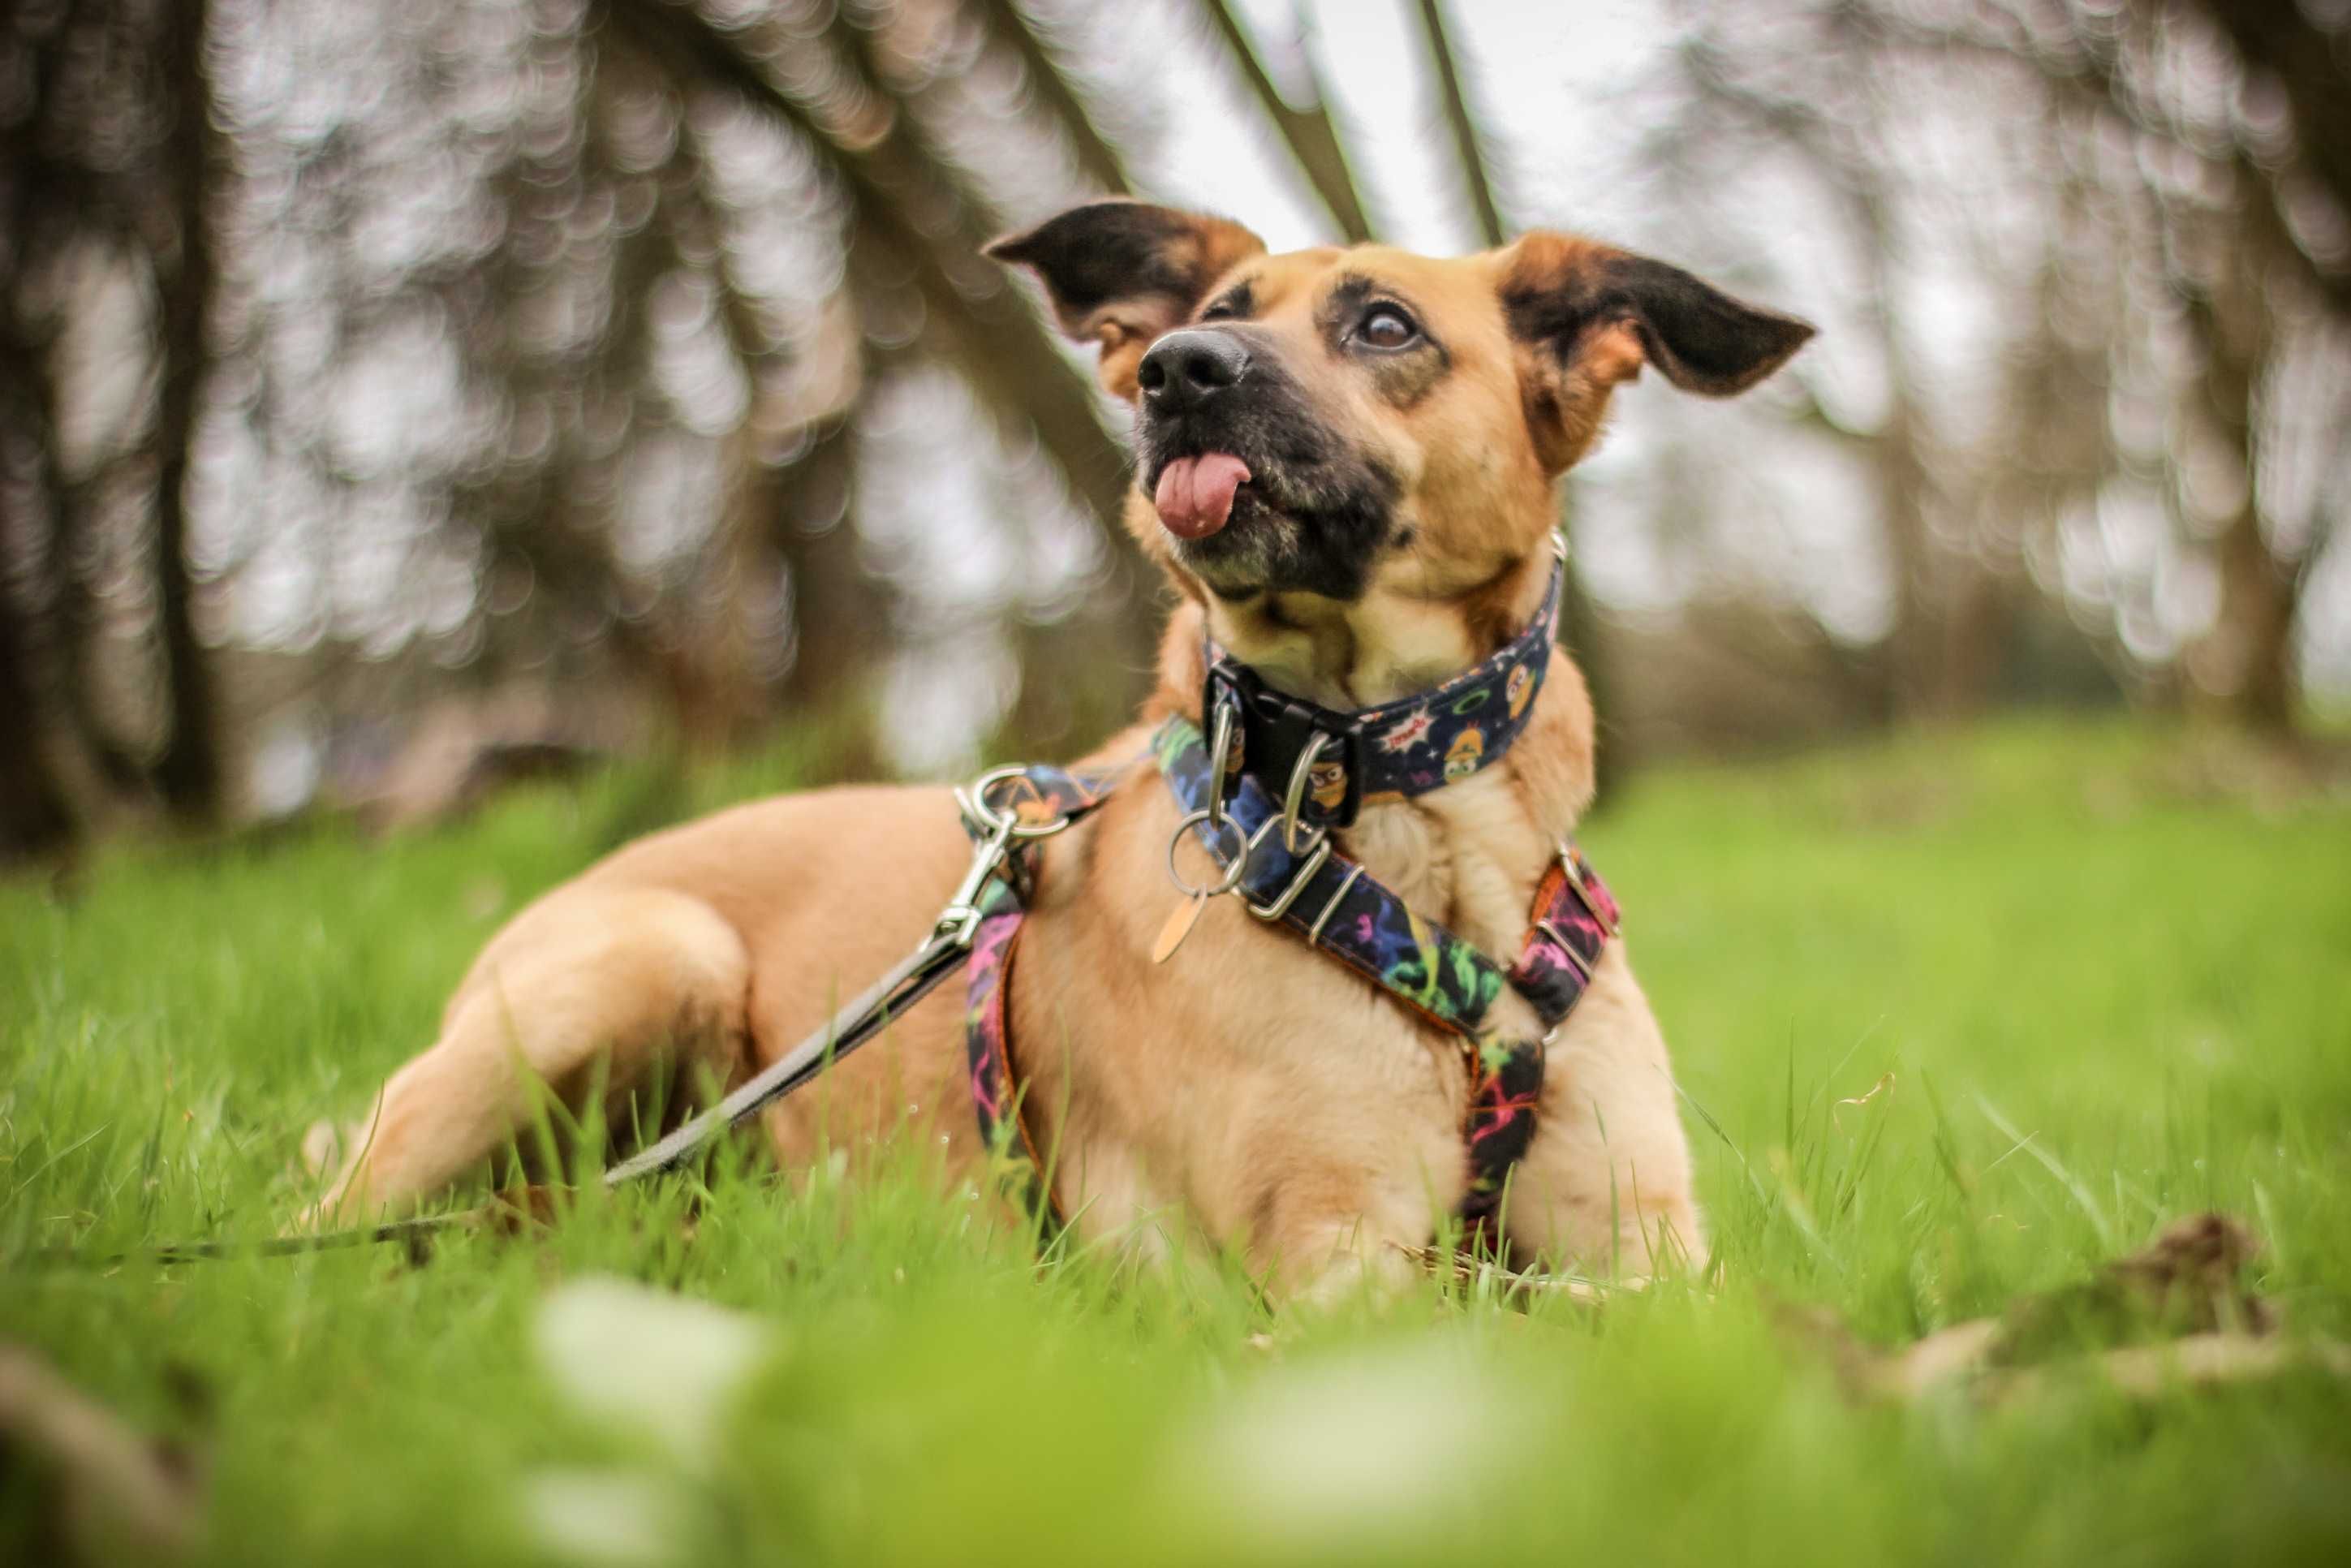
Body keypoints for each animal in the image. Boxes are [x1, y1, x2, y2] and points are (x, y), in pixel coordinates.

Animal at [308, 205, 1815, 1297]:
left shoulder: (1649, 1251)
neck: (1398, 831)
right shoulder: (1332, 1266)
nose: (1176, 372)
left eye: (1383, 323)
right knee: (329, 1214)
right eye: (1212, 320)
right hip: (638, 968)